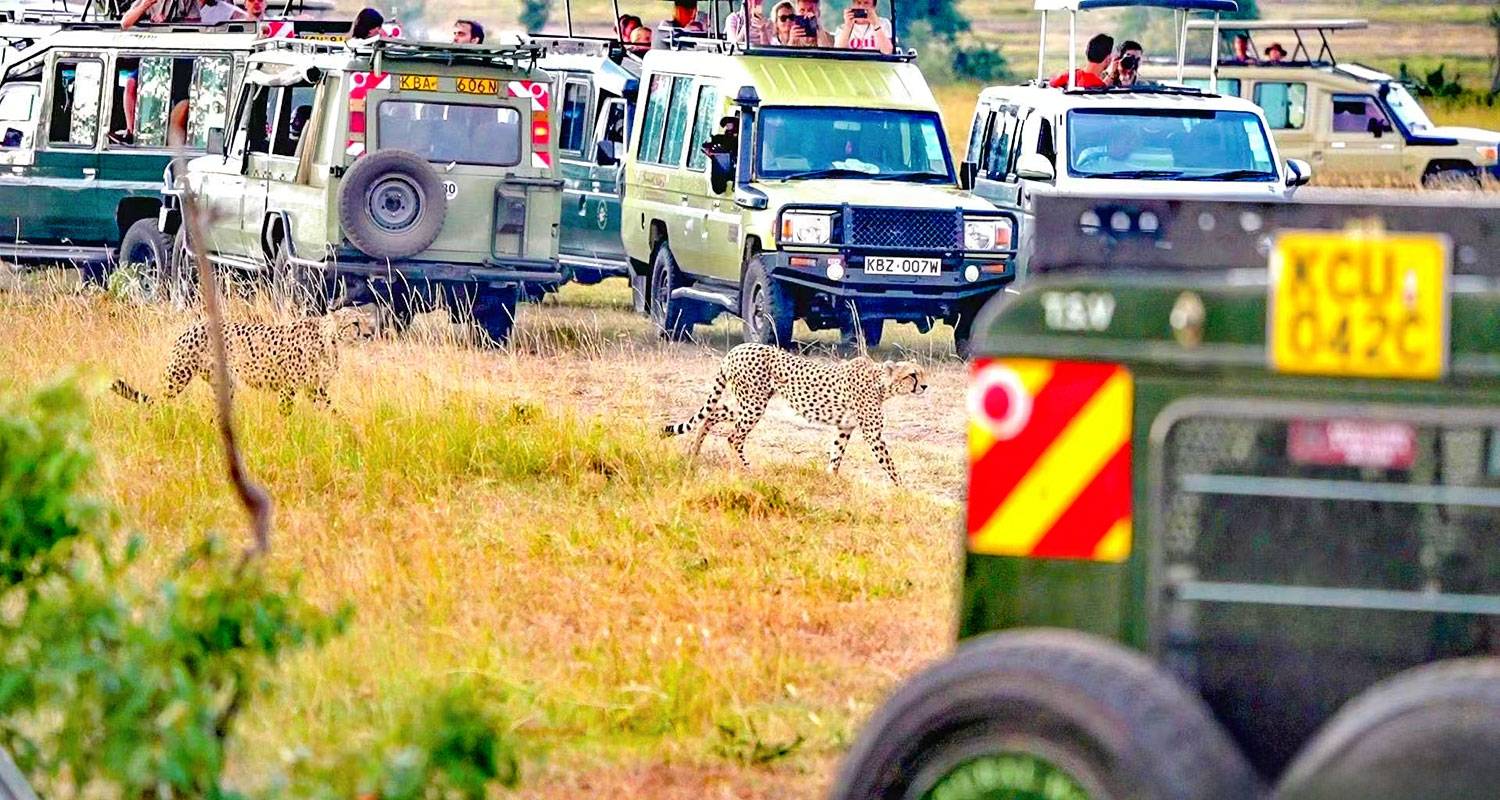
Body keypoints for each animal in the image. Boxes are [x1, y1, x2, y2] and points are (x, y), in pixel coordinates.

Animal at [111, 307, 369, 414]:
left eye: (367, 323)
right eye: (355, 323)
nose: (368, 334)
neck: (331, 341)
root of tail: (192, 325)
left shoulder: (316, 390)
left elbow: (333, 411)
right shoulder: (289, 387)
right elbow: (285, 413)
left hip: (223, 384)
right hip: (178, 376)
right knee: (160, 401)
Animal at [666, 342, 924, 483]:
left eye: (922, 373)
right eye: (912, 375)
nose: (924, 386)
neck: (880, 383)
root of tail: (738, 348)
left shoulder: (844, 427)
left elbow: (836, 455)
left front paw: (830, 478)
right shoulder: (873, 433)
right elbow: (888, 463)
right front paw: (902, 490)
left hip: (747, 403)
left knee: (713, 413)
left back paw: (694, 452)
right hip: (754, 405)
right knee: (733, 437)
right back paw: (744, 469)